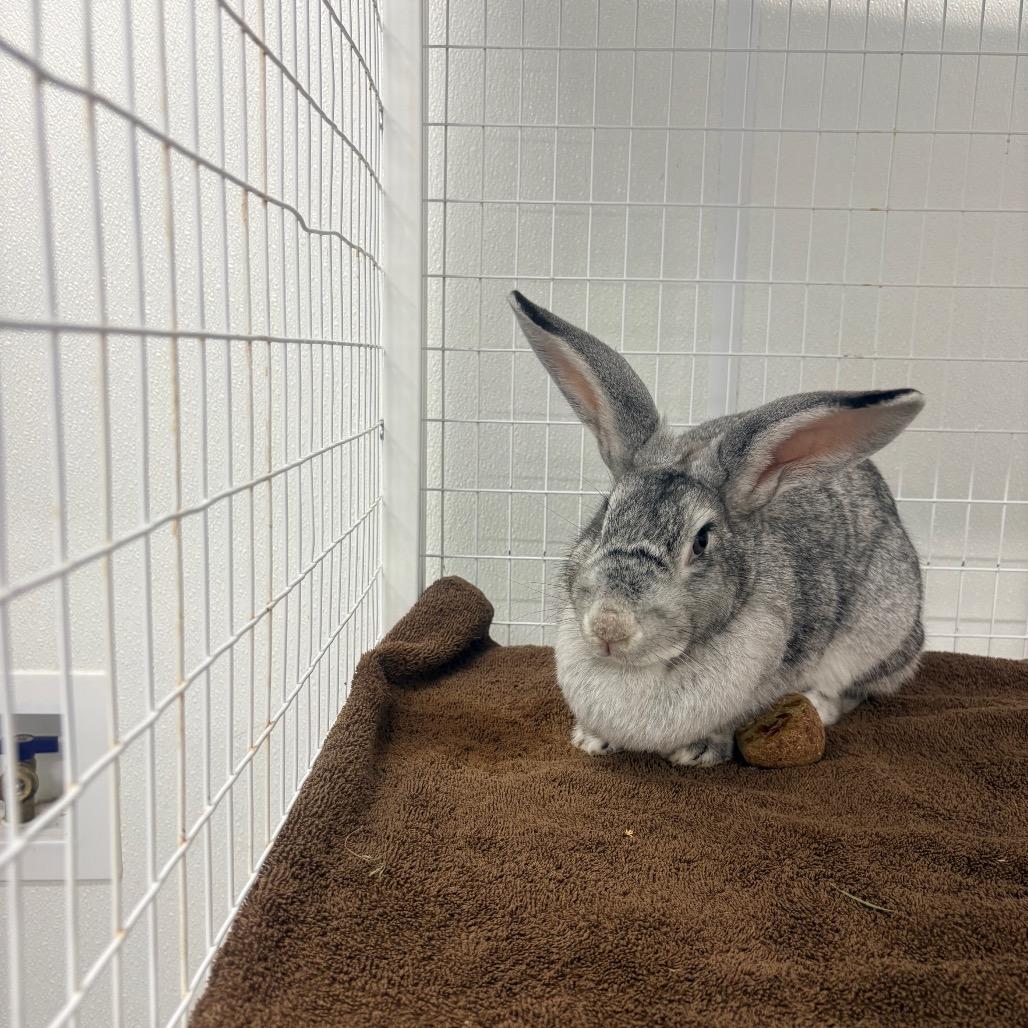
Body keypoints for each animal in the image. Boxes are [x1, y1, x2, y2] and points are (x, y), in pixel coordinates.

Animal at [509, 290, 925, 767]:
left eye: (702, 541)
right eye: (606, 512)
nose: (610, 625)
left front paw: (698, 752)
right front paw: (590, 740)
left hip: (881, 632)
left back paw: (820, 704)